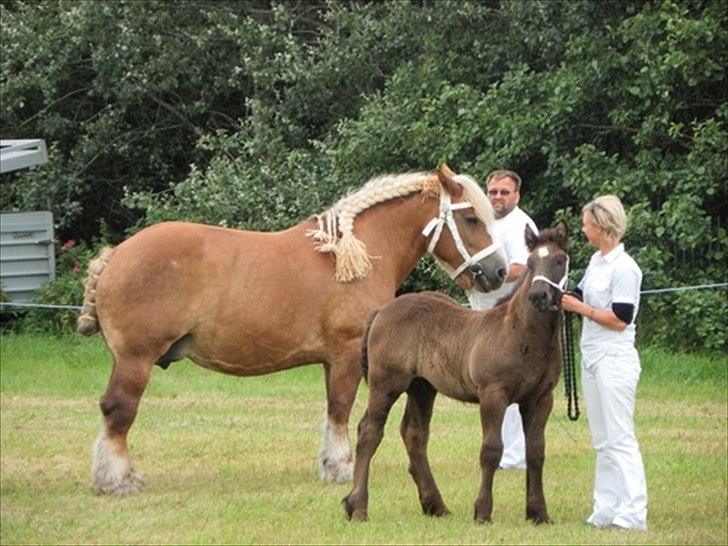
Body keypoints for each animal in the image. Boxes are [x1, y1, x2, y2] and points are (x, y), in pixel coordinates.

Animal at [75, 164, 506, 490]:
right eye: (471, 218)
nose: (498, 272)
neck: (355, 253)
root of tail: (117, 255)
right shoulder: (347, 353)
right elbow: (341, 408)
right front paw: (342, 468)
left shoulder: (333, 360)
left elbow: (333, 409)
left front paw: (330, 464)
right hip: (136, 359)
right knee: (119, 409)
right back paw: (118, 480)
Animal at [344, 222, 572, 524]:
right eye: (531, 262)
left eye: (559, 261)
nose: (538, 297)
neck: (521, 334)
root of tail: (382, 310)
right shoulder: (493, 395)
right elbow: (491, 450)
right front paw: (483, 512)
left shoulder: (540, 399)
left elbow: (536, 452)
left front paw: (538, 513)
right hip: (386, 384)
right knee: (369, 431)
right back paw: (358, 506)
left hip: (422, 387)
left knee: (414, 434)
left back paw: (435, 505)